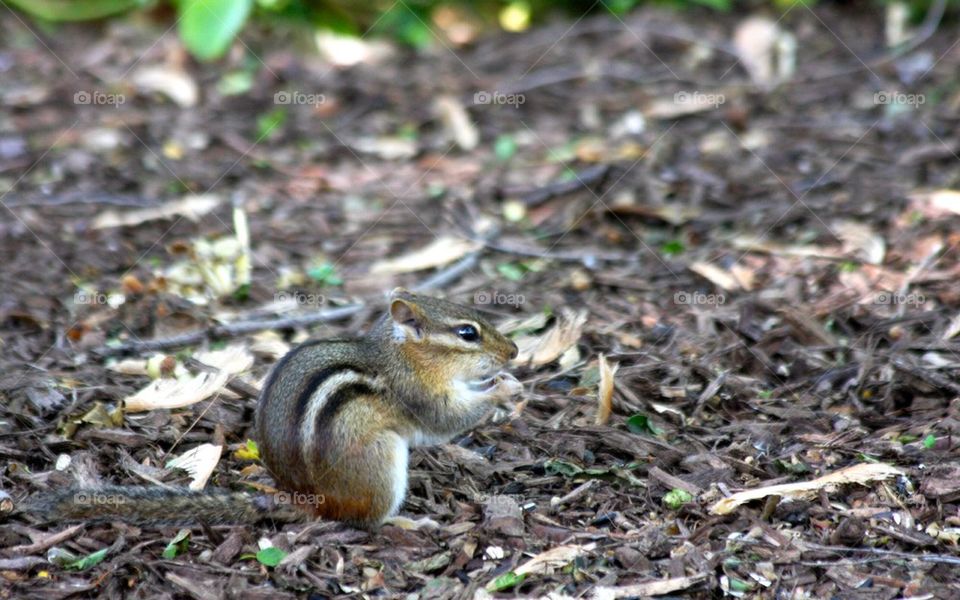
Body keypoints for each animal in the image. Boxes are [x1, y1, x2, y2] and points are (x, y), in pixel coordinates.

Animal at [33, 288, 521, 529]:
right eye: (467, 333)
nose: (514, 351)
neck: (400, 355)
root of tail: (308, 501)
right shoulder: (417, 393)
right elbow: (447, 420)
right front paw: (501, 390)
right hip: (381, 463)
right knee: (366, 522)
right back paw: (408, 525)